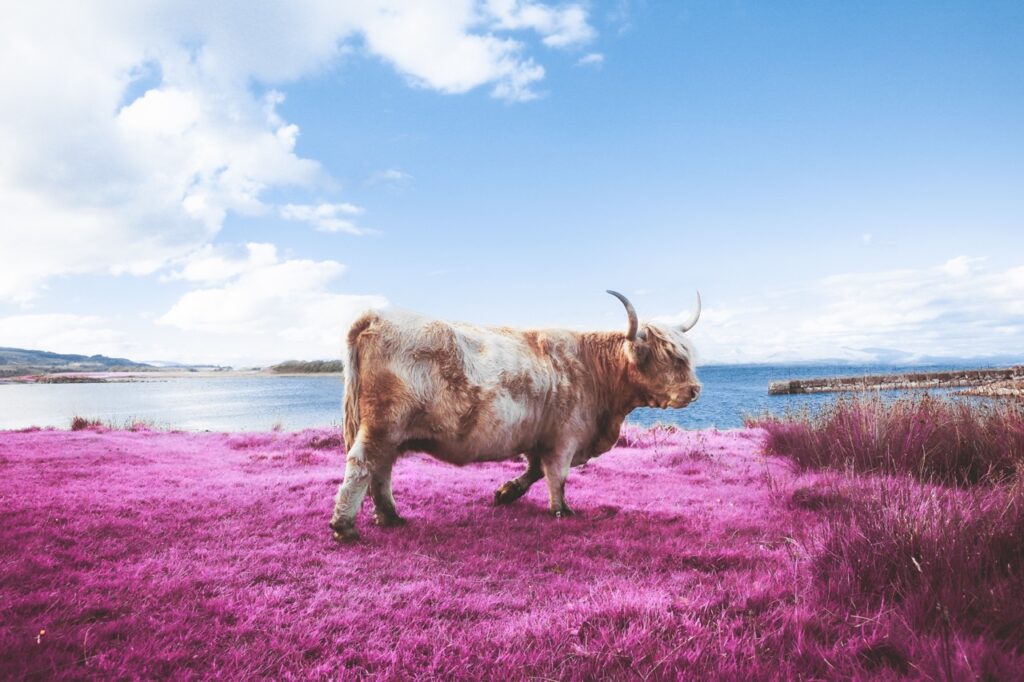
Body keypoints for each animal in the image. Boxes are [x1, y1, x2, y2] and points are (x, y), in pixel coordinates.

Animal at [329, 290, 702, 541]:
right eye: (670, 357)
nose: (695, 389)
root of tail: (378, 316)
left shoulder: (542, 436)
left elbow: (535, 469)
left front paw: (505, 493)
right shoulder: (566, 437)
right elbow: (557, 476)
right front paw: (561, 510)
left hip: (390, 434)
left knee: (381, 470)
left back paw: (390, 517)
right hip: (382, 426)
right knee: (363, 464)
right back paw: (344, 526)